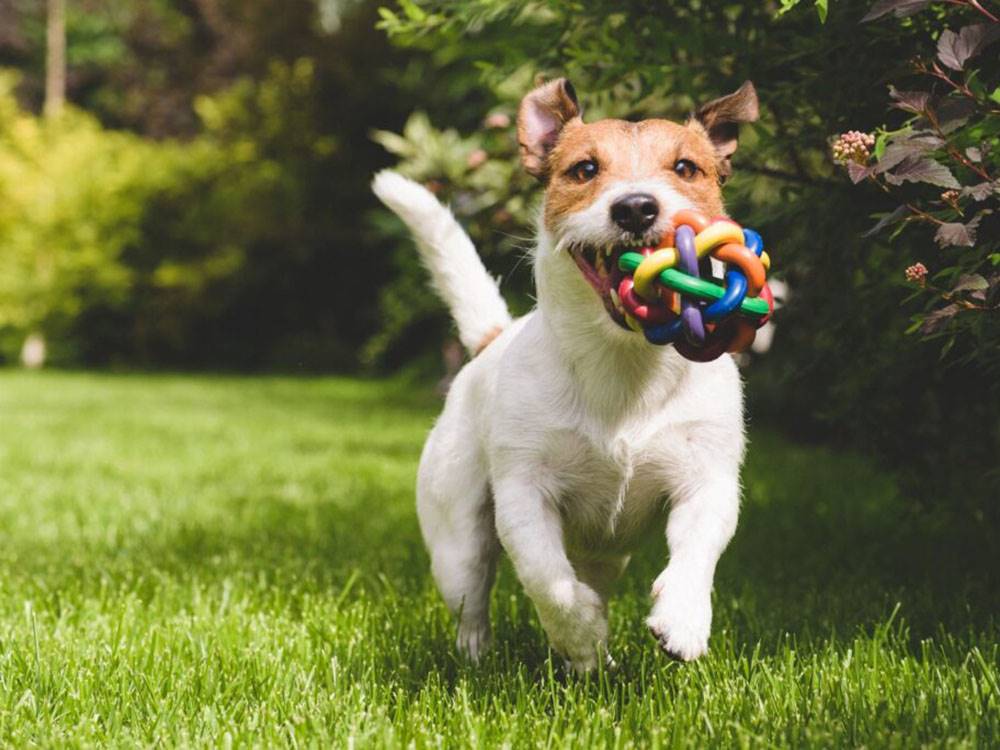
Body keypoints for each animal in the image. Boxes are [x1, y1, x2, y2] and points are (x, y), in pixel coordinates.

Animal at [374, 76, 756, 672]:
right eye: (584, 169)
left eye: (686, 167)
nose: (636, 207)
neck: (623, 363)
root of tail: (492, 339)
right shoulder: (523, 493)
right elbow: (547, 579)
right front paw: (579, 632)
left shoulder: (707, 478)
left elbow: (697, 550)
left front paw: (683, 619)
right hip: (457, 536)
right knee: (473, 595)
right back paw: (487, 653)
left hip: (608, 553)